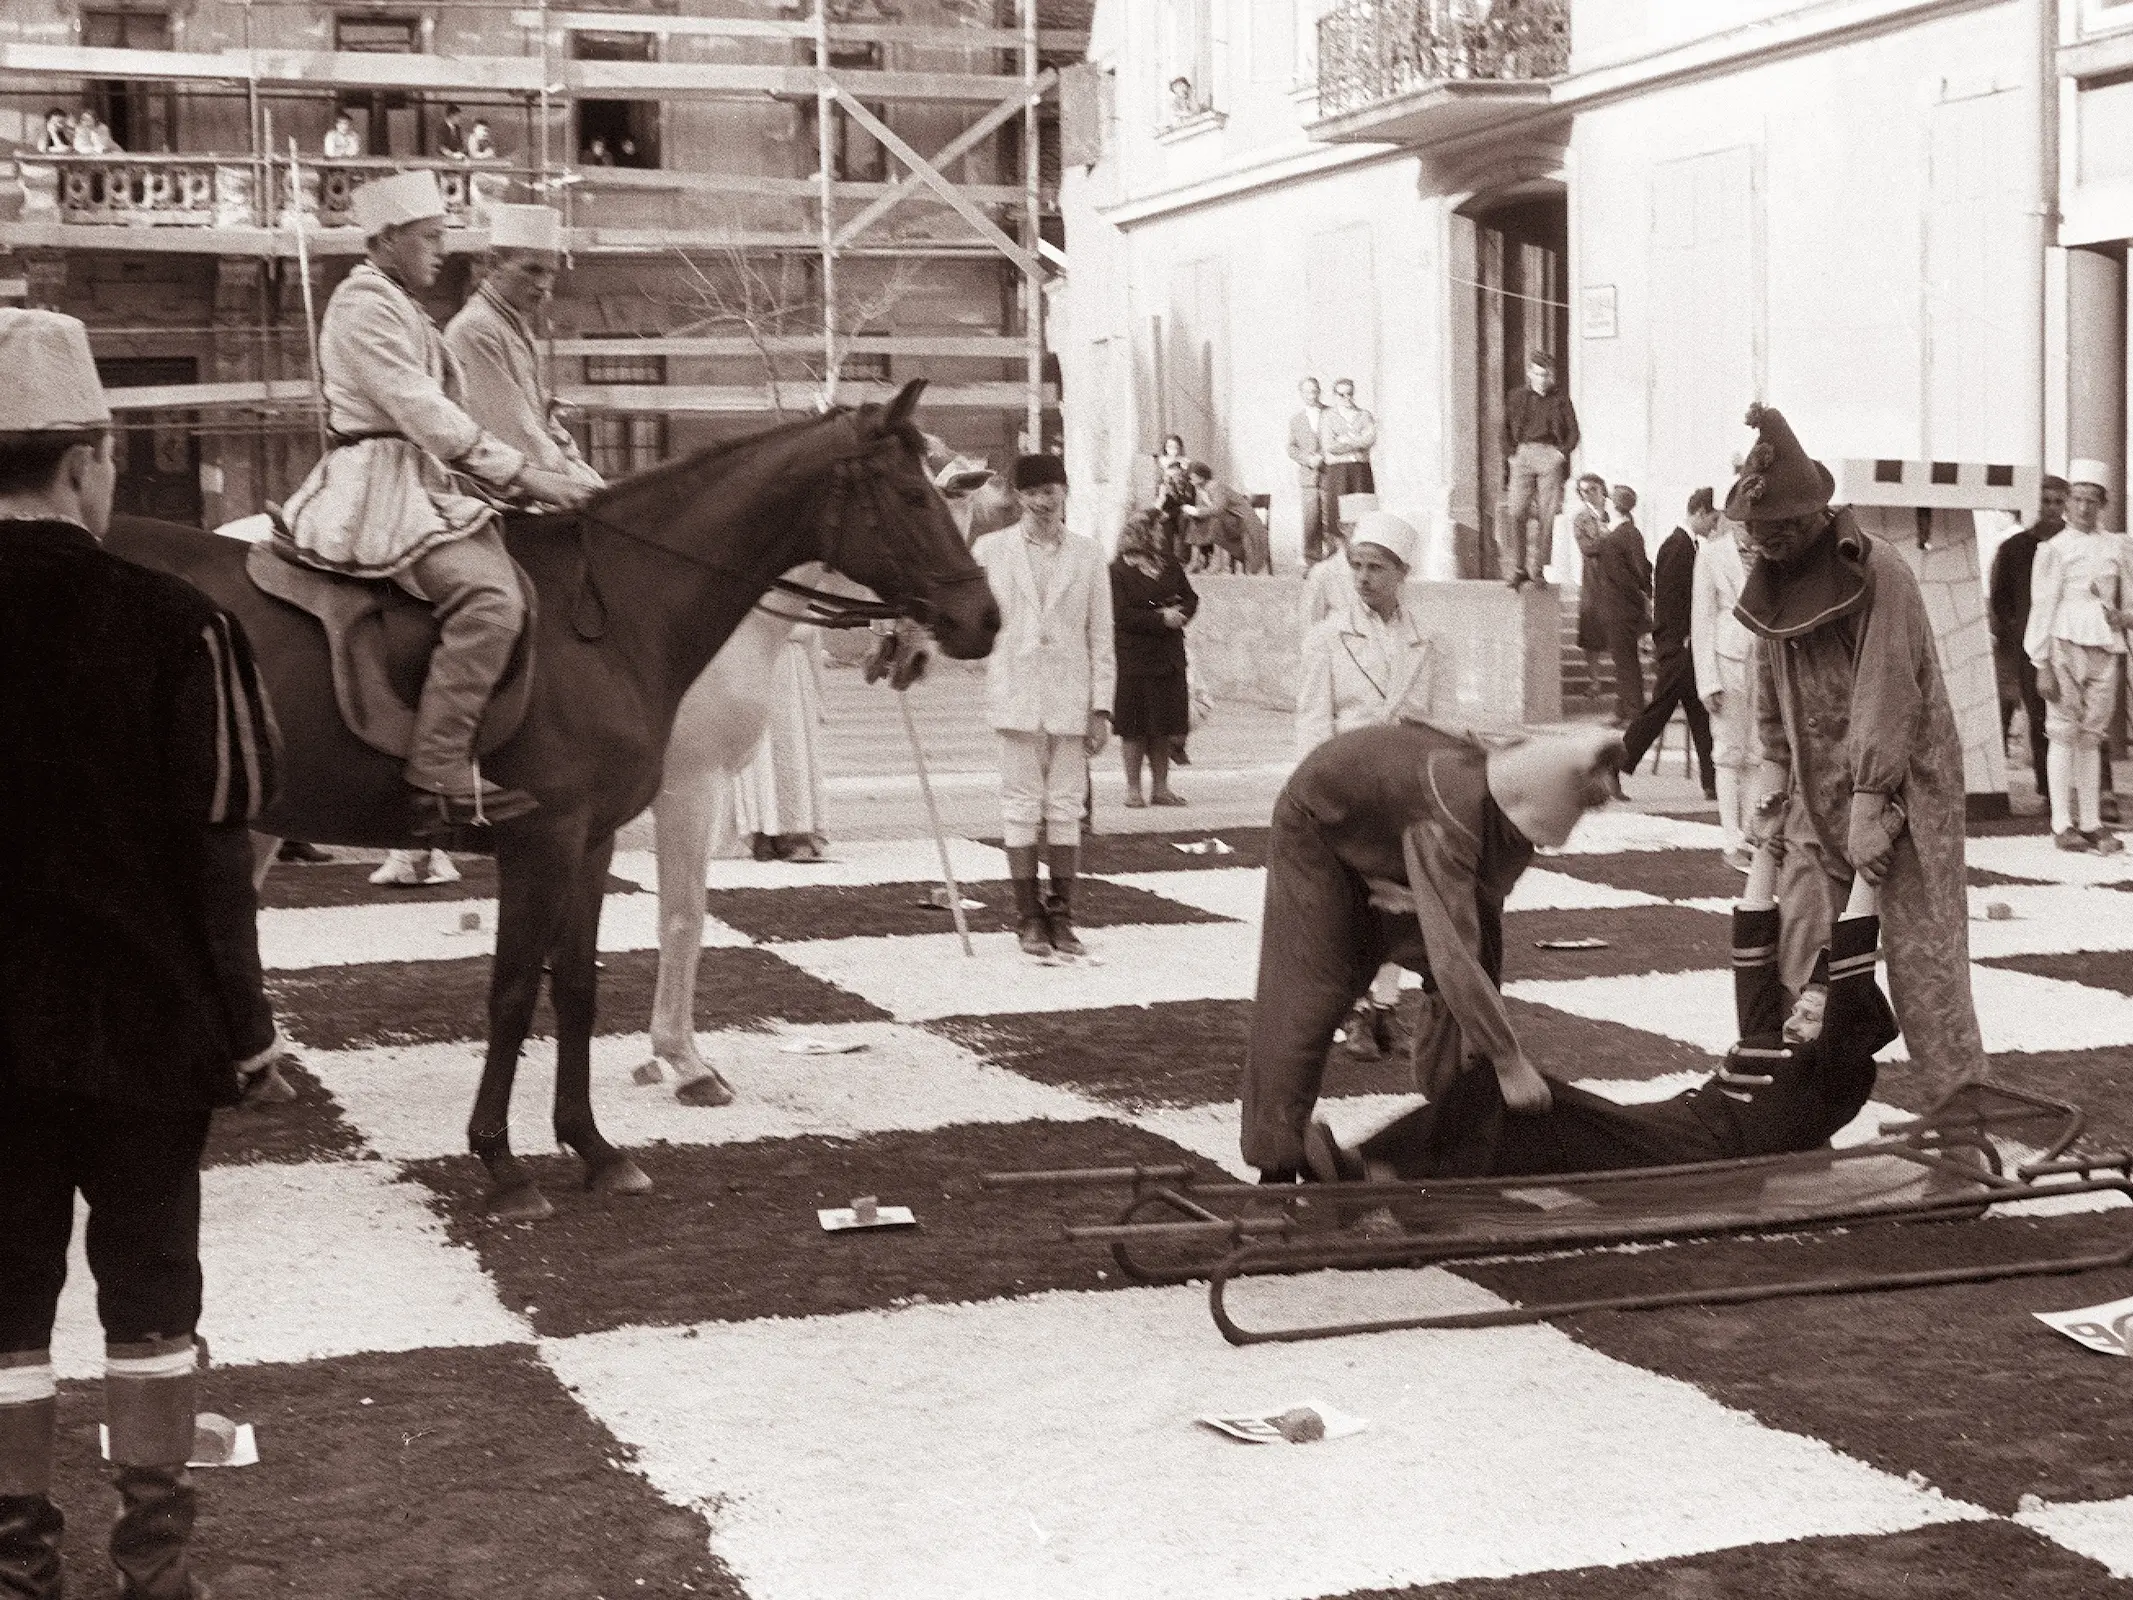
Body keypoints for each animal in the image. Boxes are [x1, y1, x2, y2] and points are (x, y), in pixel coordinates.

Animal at [100, 381, 998, 1220]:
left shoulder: (591, 840)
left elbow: (574, 986)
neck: (616, 614)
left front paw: (594, 1147)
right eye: (915, 495)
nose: (980, 619)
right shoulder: (572, 831)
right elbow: (535, 982)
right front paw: (510, 1159)